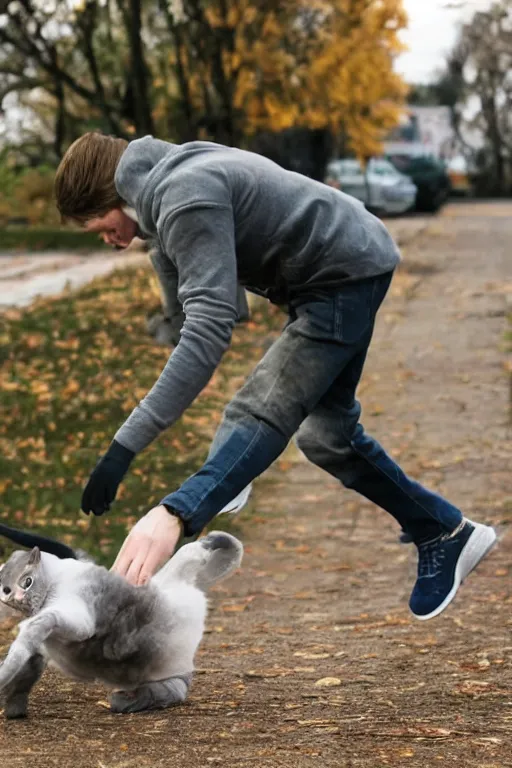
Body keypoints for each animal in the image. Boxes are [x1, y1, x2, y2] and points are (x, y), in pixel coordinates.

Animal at [0, 528, 243, 720]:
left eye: (27, 582)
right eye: (5, 590)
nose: (17, 598)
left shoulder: (76, 612)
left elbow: (32, 633)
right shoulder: (40, 647)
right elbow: (24, 675)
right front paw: (14, 708)